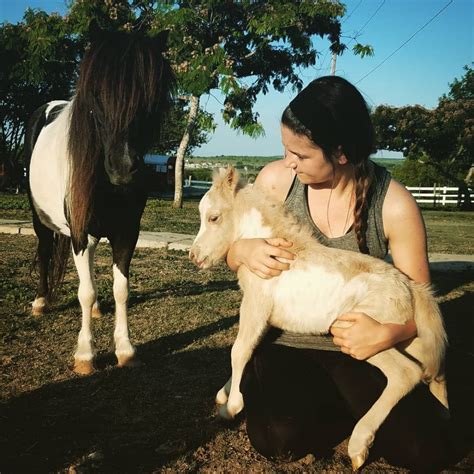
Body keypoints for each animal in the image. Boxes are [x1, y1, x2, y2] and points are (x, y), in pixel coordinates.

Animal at [24, 26, 174, 374]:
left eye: (151, 95)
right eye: (96, 95)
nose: (123, 168)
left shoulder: (127, 233)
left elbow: (121, 290)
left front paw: (126, 349)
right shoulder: (80, 232)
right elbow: (86, 291)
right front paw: (85, 355)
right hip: (41, 219)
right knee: (45, 251)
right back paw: (40, 301)